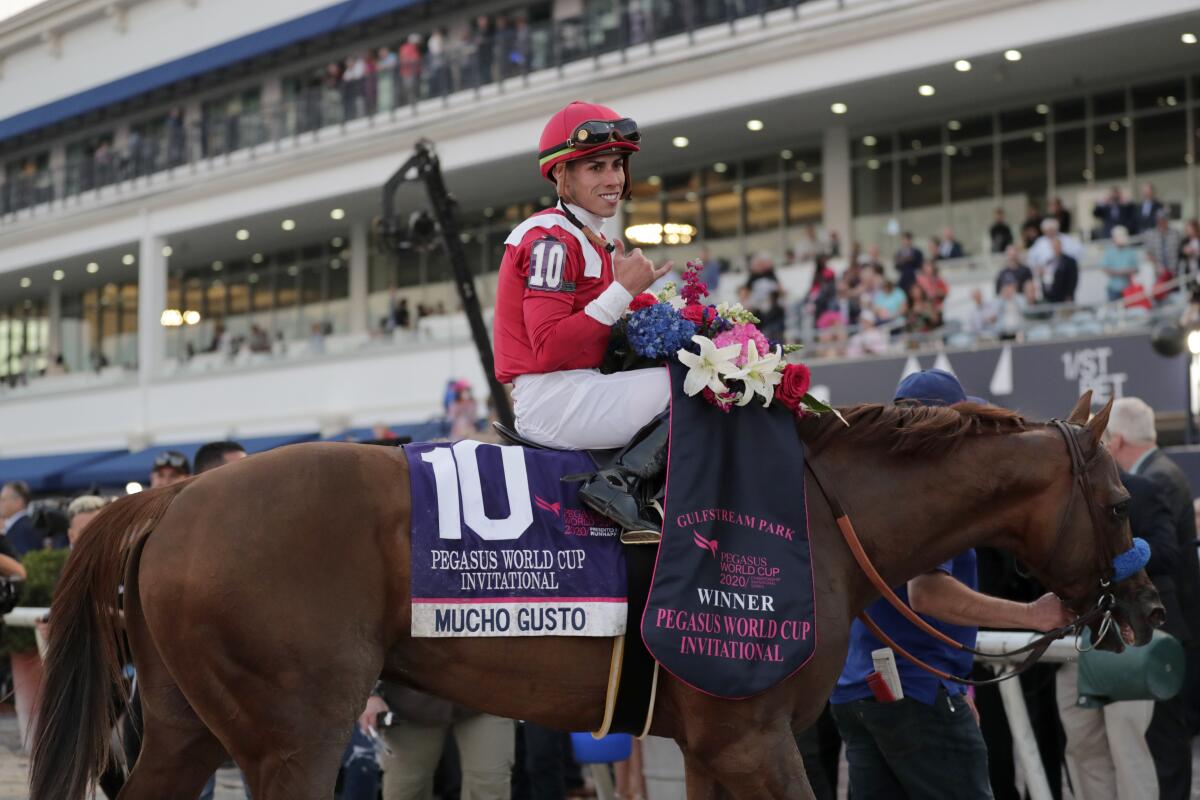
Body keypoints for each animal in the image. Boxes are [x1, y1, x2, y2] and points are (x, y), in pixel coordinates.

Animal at [30, 395, 1161, 800]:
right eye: (1117, 498)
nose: (1146, 611)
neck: (812, 505)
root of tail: (172, 496)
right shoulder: (756, 738)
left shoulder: (712, 742)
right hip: (294, 735)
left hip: (186, 728)